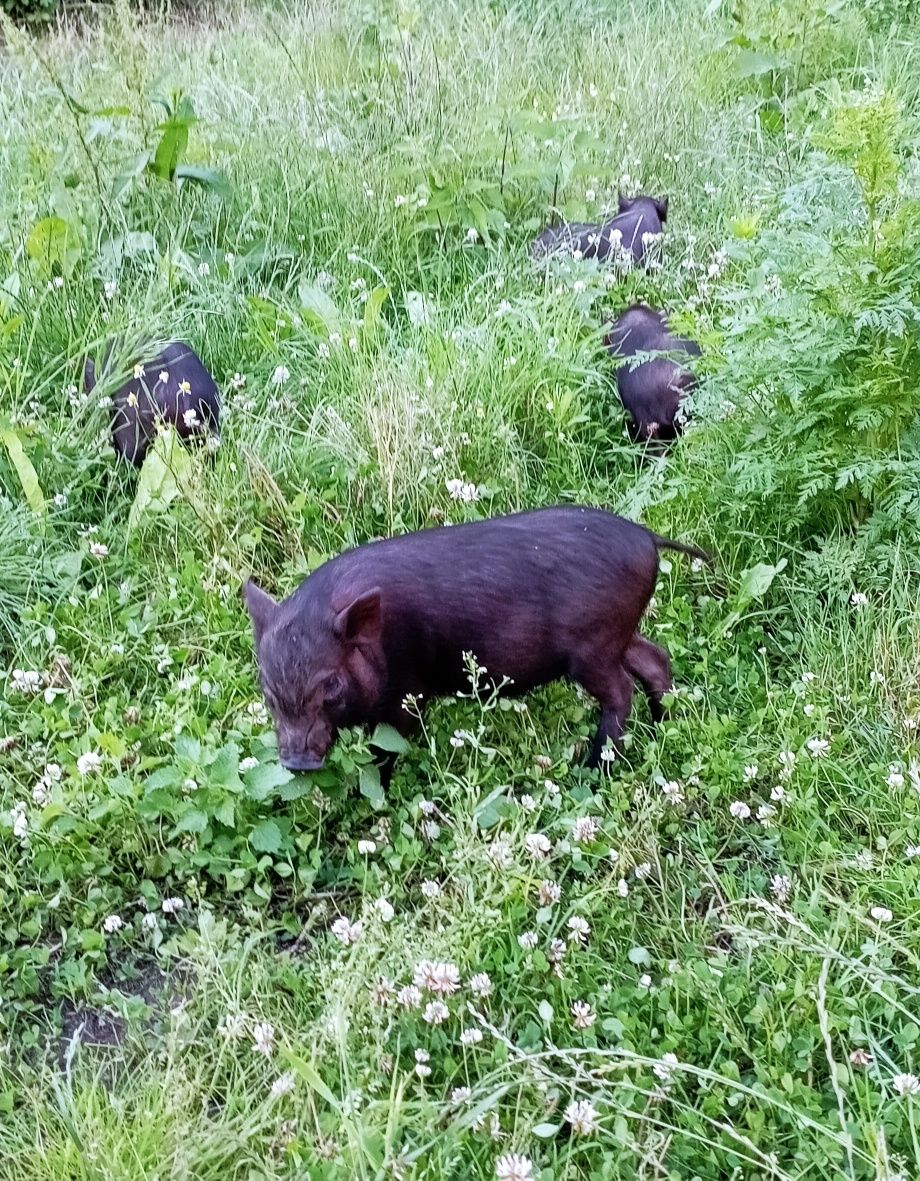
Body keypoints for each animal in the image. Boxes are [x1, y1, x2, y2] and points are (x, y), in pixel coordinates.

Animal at [244, 505, 703, 774]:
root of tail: (645, 537)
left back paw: (593, 768)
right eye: (267, 691)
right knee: (655, 659)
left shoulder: (406, 694)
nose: (298, 763)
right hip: (619, 635)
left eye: (331, 685)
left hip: (594, 647)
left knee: (622, 689)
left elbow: (387, 747)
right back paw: (662, 724)